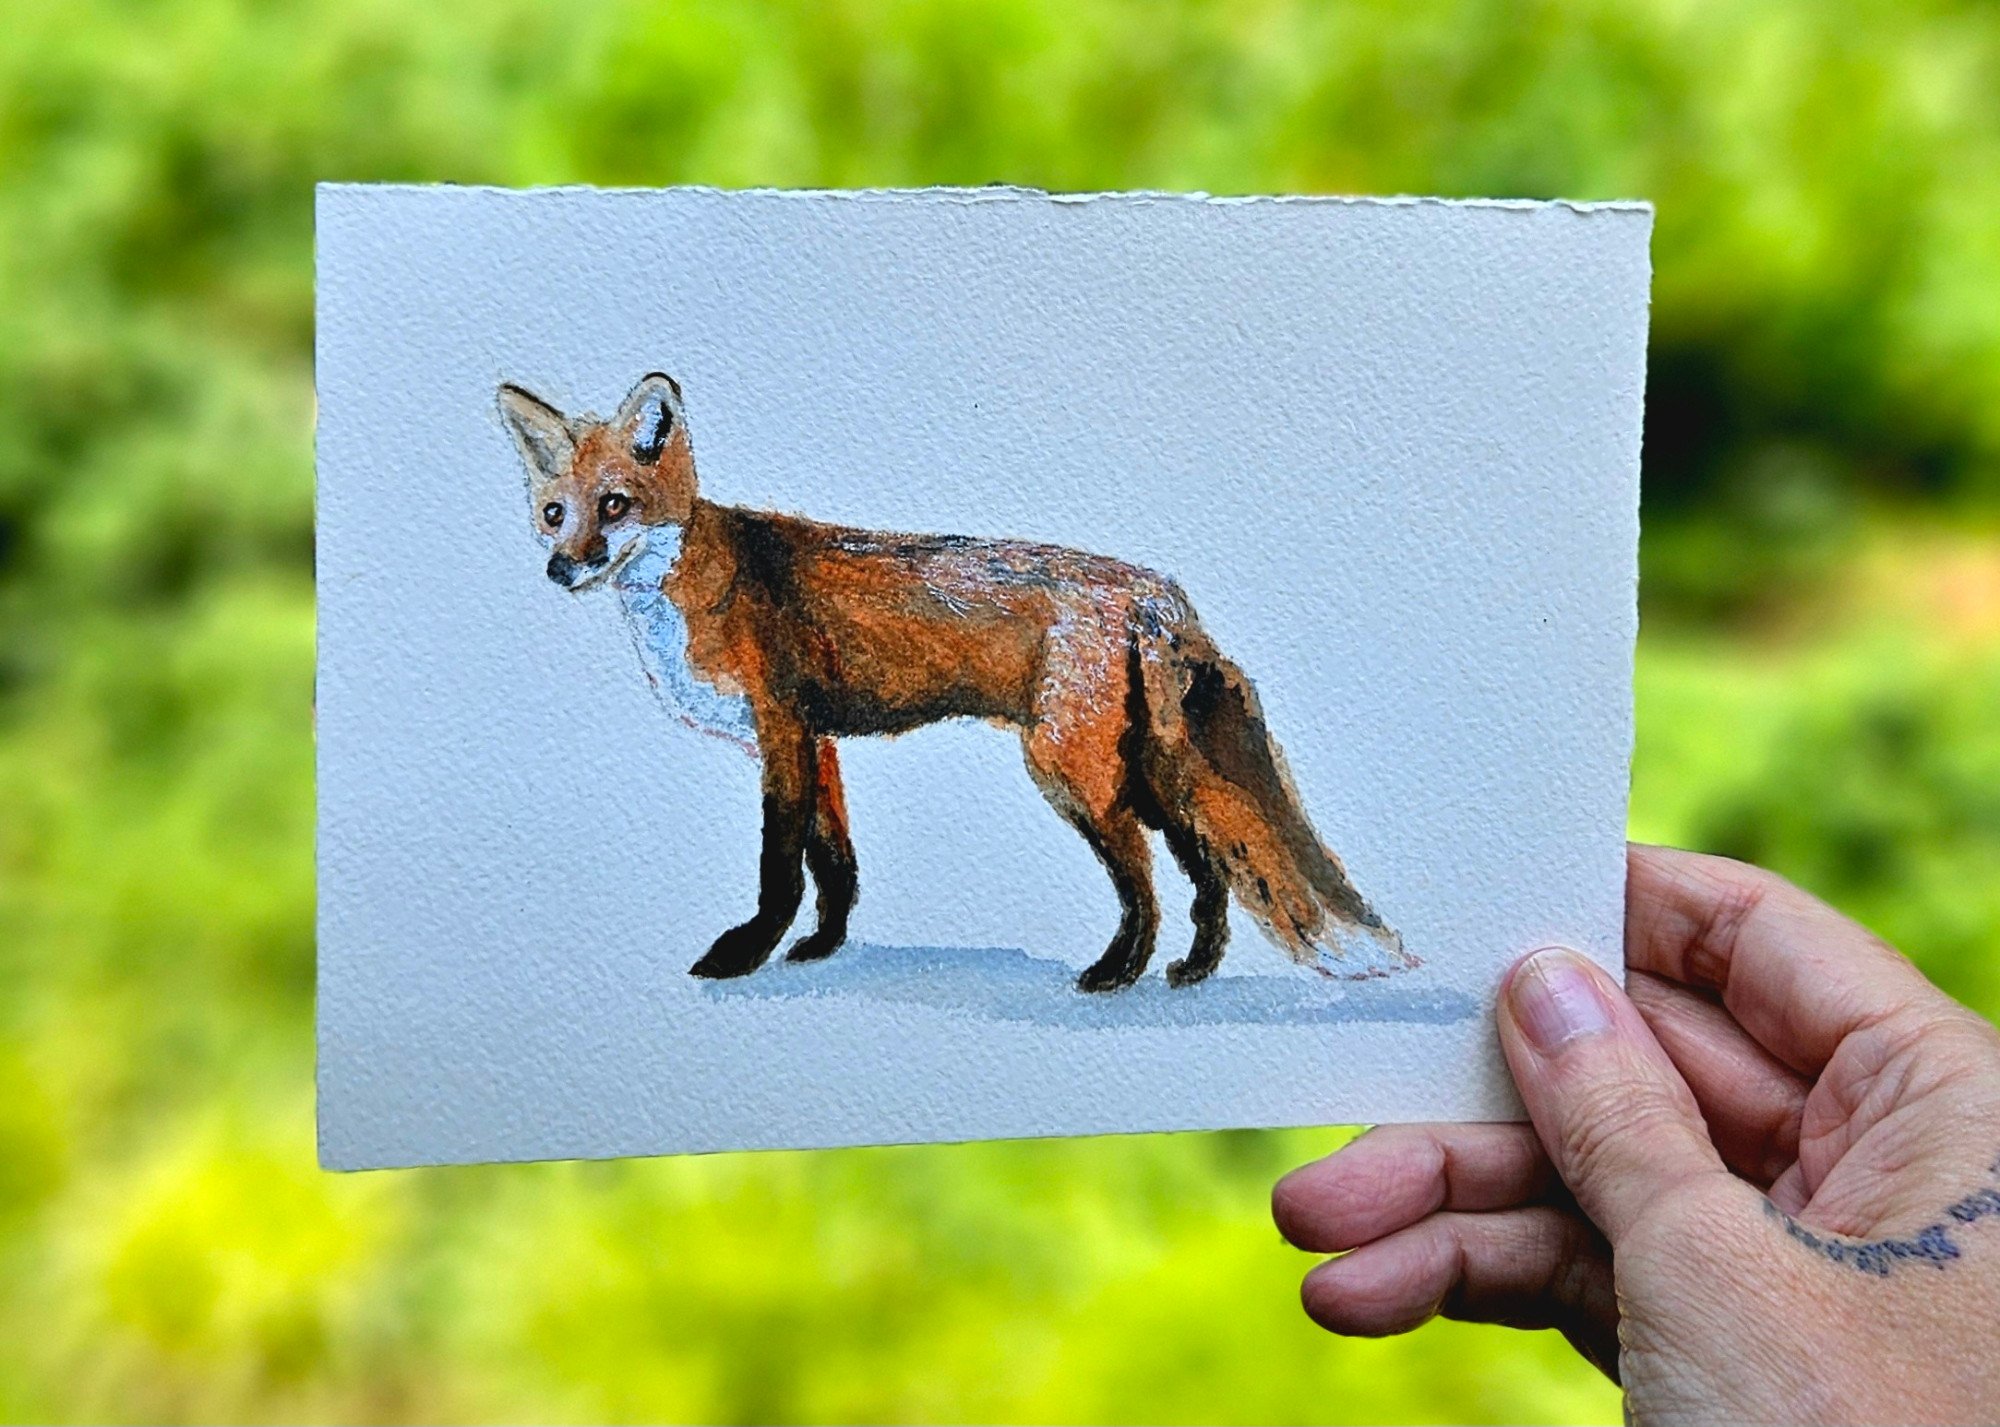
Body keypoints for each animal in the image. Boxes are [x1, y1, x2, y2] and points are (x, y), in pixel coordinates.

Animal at [498, 372, 1414, 992]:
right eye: (554, 512)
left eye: (616, 505)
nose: (560, 567)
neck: (698, 586)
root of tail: (1156, 591)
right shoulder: (818, 742)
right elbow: (836, 863)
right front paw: (819, 950)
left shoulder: (781, 731)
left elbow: (780, 868)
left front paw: (749, 952)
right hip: (1150, 772)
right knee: (1208, 871)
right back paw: (1189, 970)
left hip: (1074, 773)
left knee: (1146, 882)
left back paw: (1117, 974)